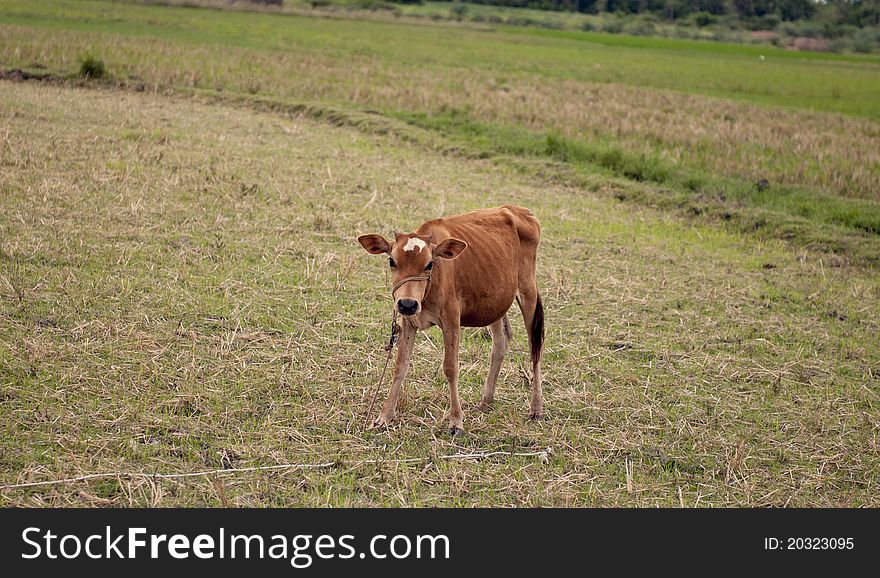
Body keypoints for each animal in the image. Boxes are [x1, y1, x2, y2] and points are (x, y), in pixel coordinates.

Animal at [358, 202, 544, 432]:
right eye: (392, 261)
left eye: (429, 264)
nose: (407, 304)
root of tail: (518, 210)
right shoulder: (408, 321)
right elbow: (400, 365)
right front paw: (385, 416)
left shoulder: (452, 321)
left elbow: (450, 368)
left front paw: (456, 420)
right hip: (496, 302)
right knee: (500, 342)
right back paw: (486, 400)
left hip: (528, 292)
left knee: (534, 347)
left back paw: (536, 408)